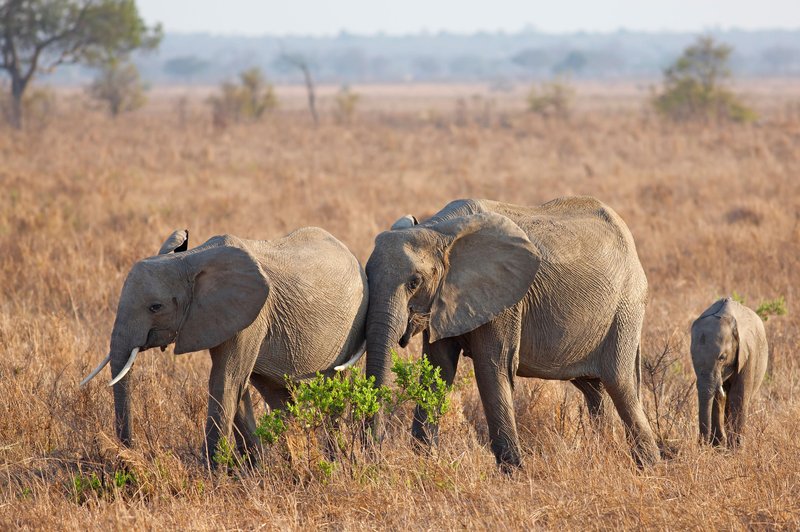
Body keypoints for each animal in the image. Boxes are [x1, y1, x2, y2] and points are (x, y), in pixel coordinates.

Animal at [81, 227, 368, 464]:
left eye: (155, 307)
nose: (129, 452)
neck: (190, 260)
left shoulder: (251, 315)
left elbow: (226, 380)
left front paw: (212, 471)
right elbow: (237, 385)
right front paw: (256, 469)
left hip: (353, 327)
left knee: (338, 384)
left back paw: (335, 460)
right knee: (276, 392)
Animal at [366, 198, 660, 470]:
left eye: (414, 282)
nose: (375, 454)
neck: (438, 231)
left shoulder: (505, 300)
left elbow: (492, 369)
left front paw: (514, 472)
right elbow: (439, 368)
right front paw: (425, 461)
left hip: (626, 307)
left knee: (620, 384)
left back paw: (649, 466)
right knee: (594, 388)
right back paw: (604, 453)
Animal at [688, 298, 768, 446]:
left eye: (722, 358)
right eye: (692, 357)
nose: (701, 444)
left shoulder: (748, 354)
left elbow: (738, 396)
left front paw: (735, 448)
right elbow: (717, 397)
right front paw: (718, 446)